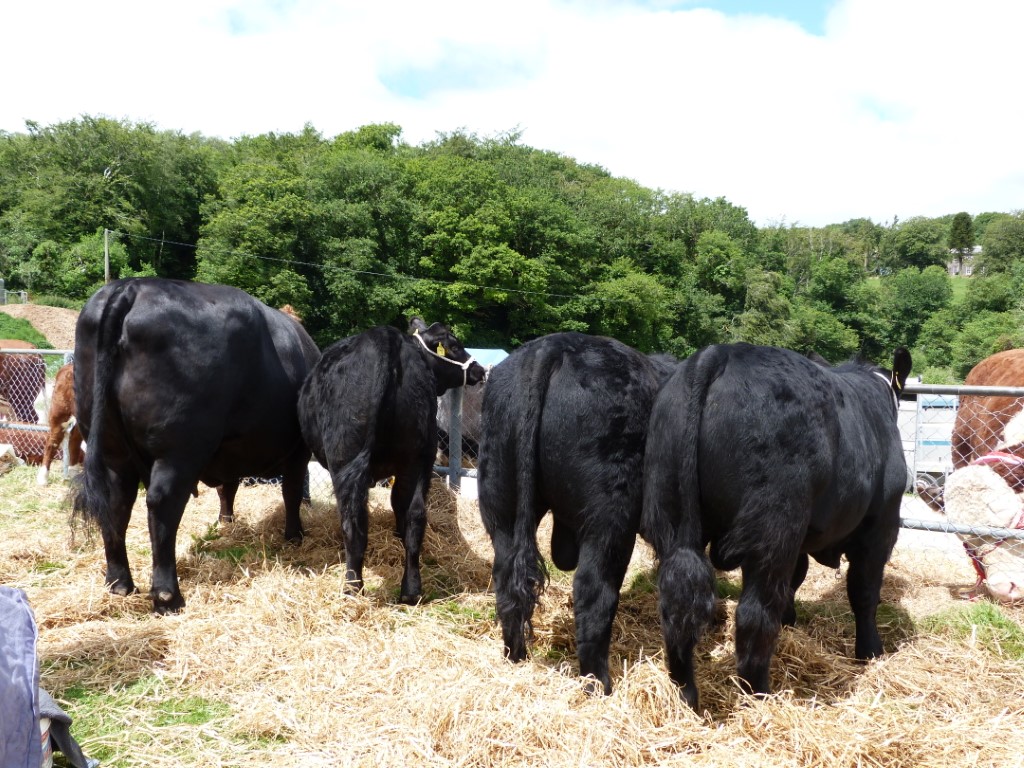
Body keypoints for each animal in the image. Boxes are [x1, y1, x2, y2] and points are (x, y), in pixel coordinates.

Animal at [71, 278, 321, 614]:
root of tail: (132, 286)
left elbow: (228, 488)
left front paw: (226, 522)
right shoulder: (298, 451)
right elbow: (292, 493)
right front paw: (294, 536)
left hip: (112, 450)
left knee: (115, 504)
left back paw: (119, 583)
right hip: (179, 449)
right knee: (162, 505)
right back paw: (167, 596)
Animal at [297, 318, 485, 604]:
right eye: (454, 346)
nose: (479, 369)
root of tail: (387, 339)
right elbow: (399, 505)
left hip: (346, 460)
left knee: (353, 522)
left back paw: (353, 589)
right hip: (418, 458)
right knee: (415, 515)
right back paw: (411, 590)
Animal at [476, 332, 678, 694]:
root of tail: (555, 345)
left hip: (500, 500)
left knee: (506, 580)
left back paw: (515, 656)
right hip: (610, 514)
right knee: (594, 590)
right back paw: (598, 683)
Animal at [642, 343, 912, 710]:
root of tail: (721, 352)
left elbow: (796, 578)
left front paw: (790, 621)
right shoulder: (881, 524)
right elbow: (864, 591)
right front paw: (870, 651)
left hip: (671, 513)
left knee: (678, 599)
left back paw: (685, 694)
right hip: (774, 523)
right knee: (753, 612)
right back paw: (759, 693)